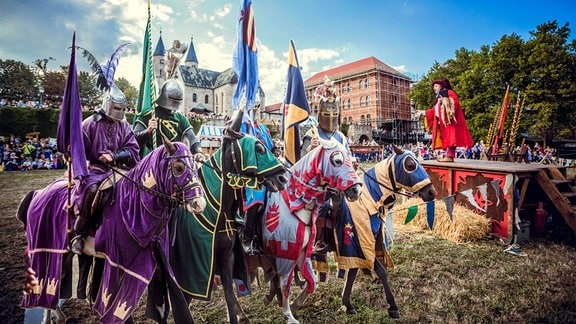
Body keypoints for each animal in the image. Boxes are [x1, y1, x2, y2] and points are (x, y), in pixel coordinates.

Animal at [18, 142, 206, 324]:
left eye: (195, 166)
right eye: (178, 167)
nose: (199, 204)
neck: (133, 206)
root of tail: (38, 192)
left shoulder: (155, 260)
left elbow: (160, 304)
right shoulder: (117, 263)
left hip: (66, 251)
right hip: (50, 246)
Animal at [169, 111, 290, 324]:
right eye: (258, 148)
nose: (283, 178)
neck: (217, 212)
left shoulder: (227, 259)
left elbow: (229, 296)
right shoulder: (188, 271)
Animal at [245, 139, 362, 324]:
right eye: (337, 160)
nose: (357, 190)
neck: (293, 203)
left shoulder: (302, 251)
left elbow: (312, 282)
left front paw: (294, 304)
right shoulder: (286, 254)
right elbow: (285, 284)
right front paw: (288, 315)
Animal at [336, 146, 434, 318]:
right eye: (410, 165)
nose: (431, 192)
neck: (366, 203)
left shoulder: (357, 246)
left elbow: (353, 271)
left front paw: (347, 304)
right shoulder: (361, 242)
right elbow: (381, 271)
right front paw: (393, 306)